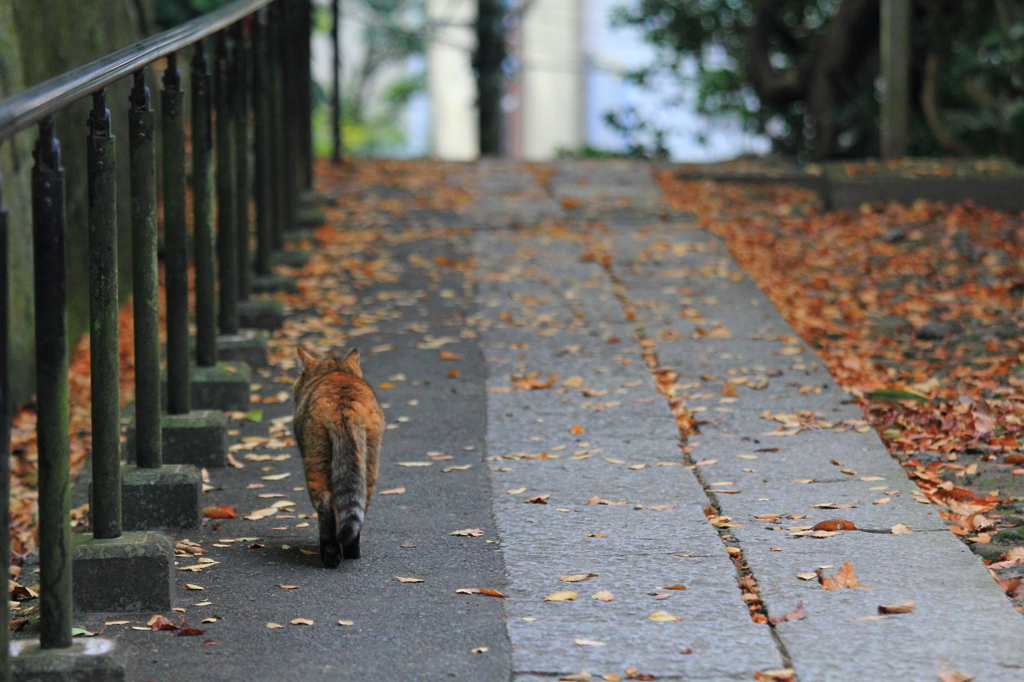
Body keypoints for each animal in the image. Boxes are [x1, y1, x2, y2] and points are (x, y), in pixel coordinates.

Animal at [292, 348, 385, 565]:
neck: (335, 371)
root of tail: (342, 404)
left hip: (316, 461)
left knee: (326, 504)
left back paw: (334, 555)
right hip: (368, 461)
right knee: (359, 503)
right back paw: (348, 551)